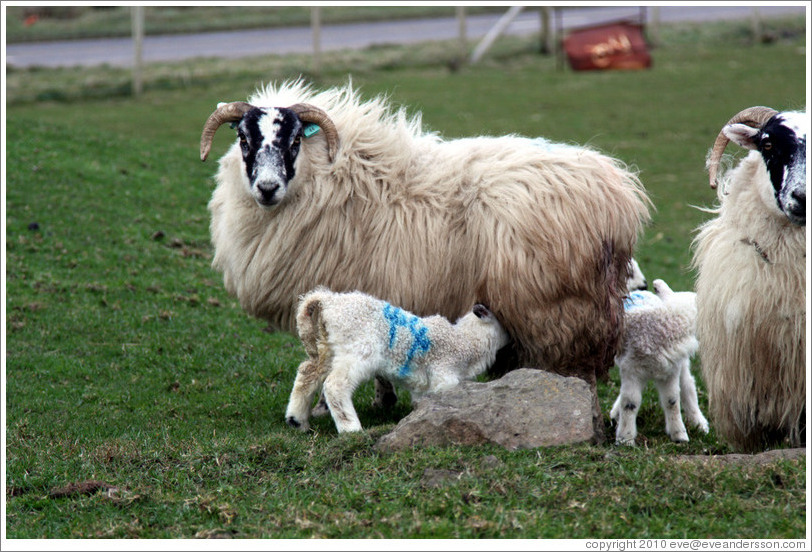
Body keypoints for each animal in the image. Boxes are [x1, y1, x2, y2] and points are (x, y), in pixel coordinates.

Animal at [284, 286, 508, 434]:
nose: (511, 338)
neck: (465, 341)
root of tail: (329, 301)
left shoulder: (423, 386)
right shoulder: (443, 376)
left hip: (327, 347)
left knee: (307, 371)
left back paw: (296, 420)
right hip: (358, 350)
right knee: (335, 385)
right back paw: (351, 429)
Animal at [604, 280, 708, 444]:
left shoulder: (671, 370)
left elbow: (672, 401)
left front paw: (679, 435)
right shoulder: (631, 369)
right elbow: (630, 402)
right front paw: (625, 438)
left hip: (681, 364)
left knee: (688, 385)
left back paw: (699, 422)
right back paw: (616, 414)